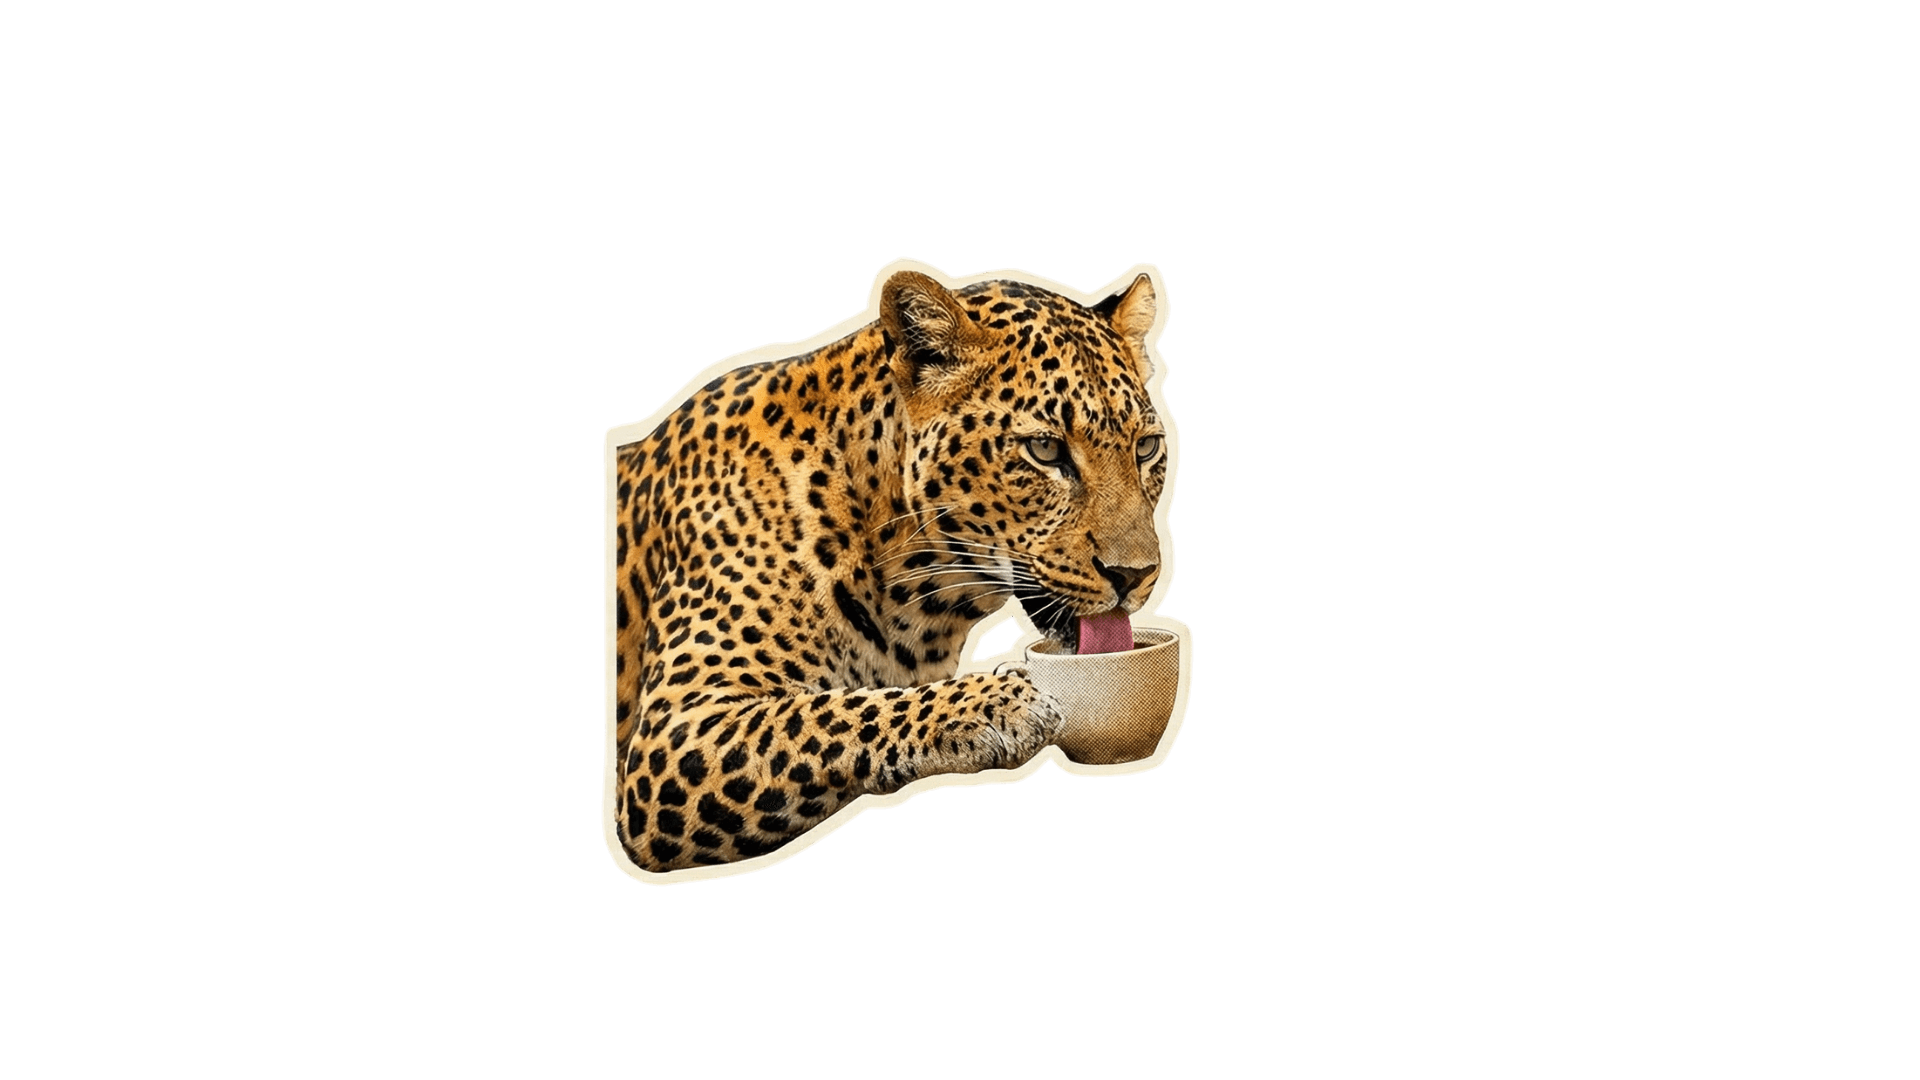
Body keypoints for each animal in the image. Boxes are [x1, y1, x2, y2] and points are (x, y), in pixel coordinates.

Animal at [610, 267, 1170, 872]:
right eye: (1044, 449)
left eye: (1146, 448)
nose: (1135, 575)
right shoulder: (674, 733)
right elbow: (829, 713)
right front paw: (999, 701)